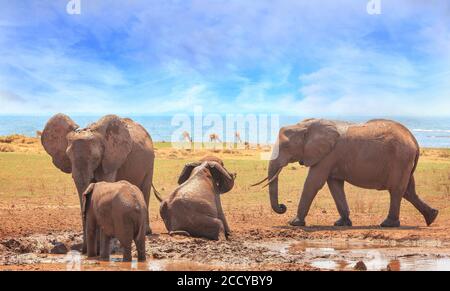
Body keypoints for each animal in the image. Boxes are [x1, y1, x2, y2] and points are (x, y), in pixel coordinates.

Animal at [41, 114, 156, 253]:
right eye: (68, 156)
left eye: (96, 157)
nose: (83, 251)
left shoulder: (109, 159)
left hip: (150, 163)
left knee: (145, 190)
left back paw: (146, 232)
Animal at [253, 118, 440, 228]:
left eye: (285, 146)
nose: (282, 206)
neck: (305, 125)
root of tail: (414, 141)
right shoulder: (330, 158)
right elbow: (334, 185)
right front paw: (341, 223)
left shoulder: (327, 155)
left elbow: (313, 183)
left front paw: (294, 223)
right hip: (405, 162)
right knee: (409, 191)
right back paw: (432, 217)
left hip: (400, 159)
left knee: (396, 191)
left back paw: (387, 224)